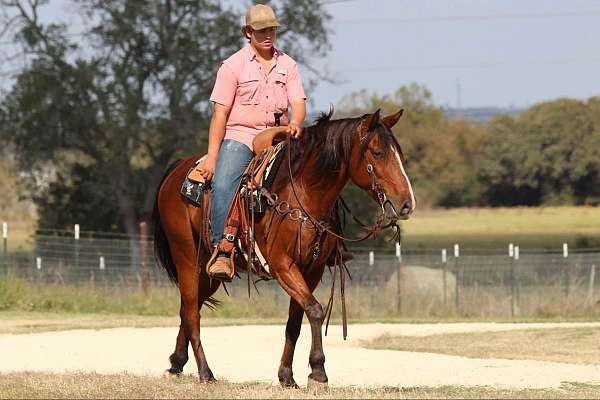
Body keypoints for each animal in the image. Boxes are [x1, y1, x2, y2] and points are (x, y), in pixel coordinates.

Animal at [152, 108, 414, 386]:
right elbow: (316, 310)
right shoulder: (282, 265)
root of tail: (177, 170)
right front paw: (318, 372)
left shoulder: (312, 269)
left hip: (209, 270)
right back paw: (205, 372)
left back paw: (176, 363)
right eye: (378, 152)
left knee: (188, 308)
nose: (407, 203)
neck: (303, 191)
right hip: (186, 257)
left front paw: (287, 376)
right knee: (192, 312)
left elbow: (295, 321)